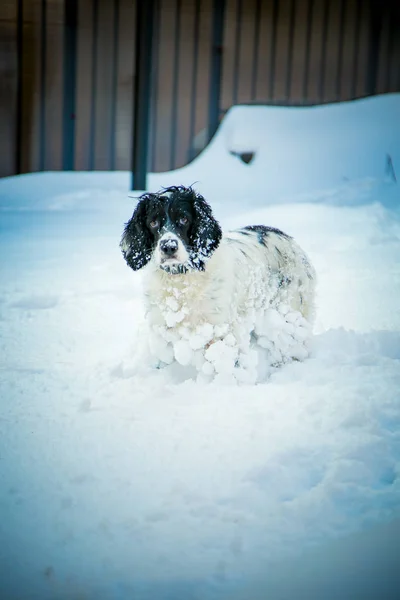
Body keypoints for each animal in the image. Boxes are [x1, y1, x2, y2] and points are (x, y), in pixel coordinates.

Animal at [119, 188, 316, 382]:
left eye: (184, 219)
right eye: (153, 222)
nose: (168, 247)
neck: (181, 281)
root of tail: (291, 241)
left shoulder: (221, 330)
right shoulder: (161, 326)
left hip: (288, 316)